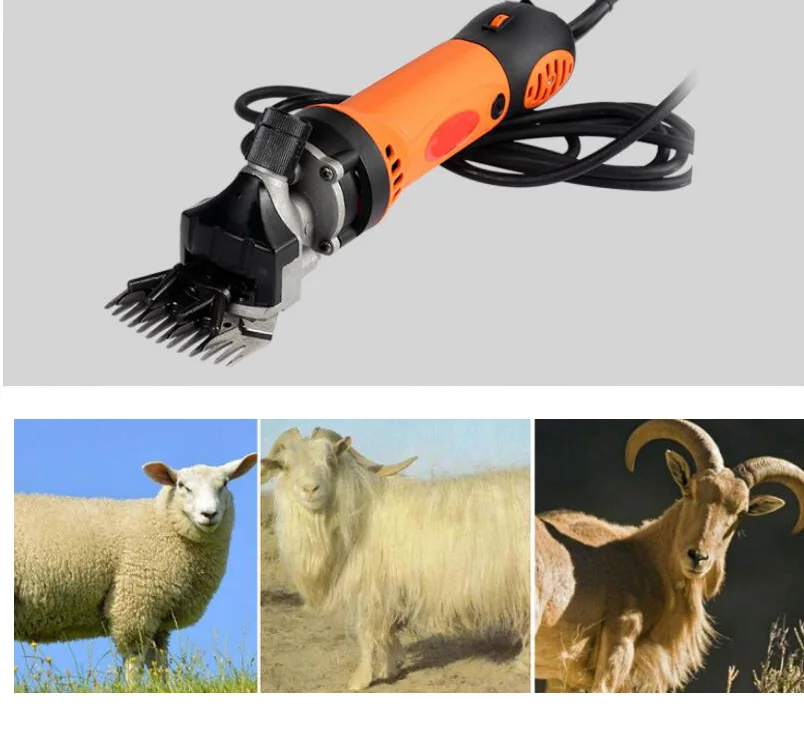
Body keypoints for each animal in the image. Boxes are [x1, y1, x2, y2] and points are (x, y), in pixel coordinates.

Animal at [14, 453, 258, 682]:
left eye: (224, 484)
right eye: (182, 486)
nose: (209, 514)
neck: (162, 523)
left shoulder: (160, 616)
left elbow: (159, 663)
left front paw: (164, 688)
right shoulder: (136, 604)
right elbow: (135, 660)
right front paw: (133, 688)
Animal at [261, 427, 530, 691]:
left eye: (330, 460)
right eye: (285, 466)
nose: (310, 489)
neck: (361, 514)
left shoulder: (371, 591)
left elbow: (367, 633)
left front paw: (360, 680)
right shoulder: (387, 592)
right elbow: (387, 633)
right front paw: (390, 668)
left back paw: (524, 664)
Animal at [534, 419, 804, 693]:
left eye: (741, 511)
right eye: (690, 490)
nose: (698, 557)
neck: (648, 561)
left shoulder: (563, 680)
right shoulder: (618, 649)